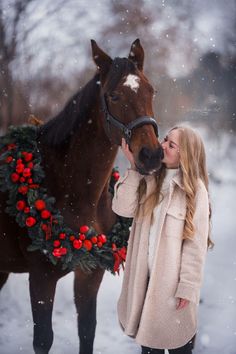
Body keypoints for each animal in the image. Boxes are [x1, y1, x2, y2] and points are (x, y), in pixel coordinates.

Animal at [0, 39, 163, 354]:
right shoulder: (41, 279)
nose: (151, 155)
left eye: (151, 91)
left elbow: (87, 331)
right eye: (114, 96)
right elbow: (43, 339)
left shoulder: (90, 273)